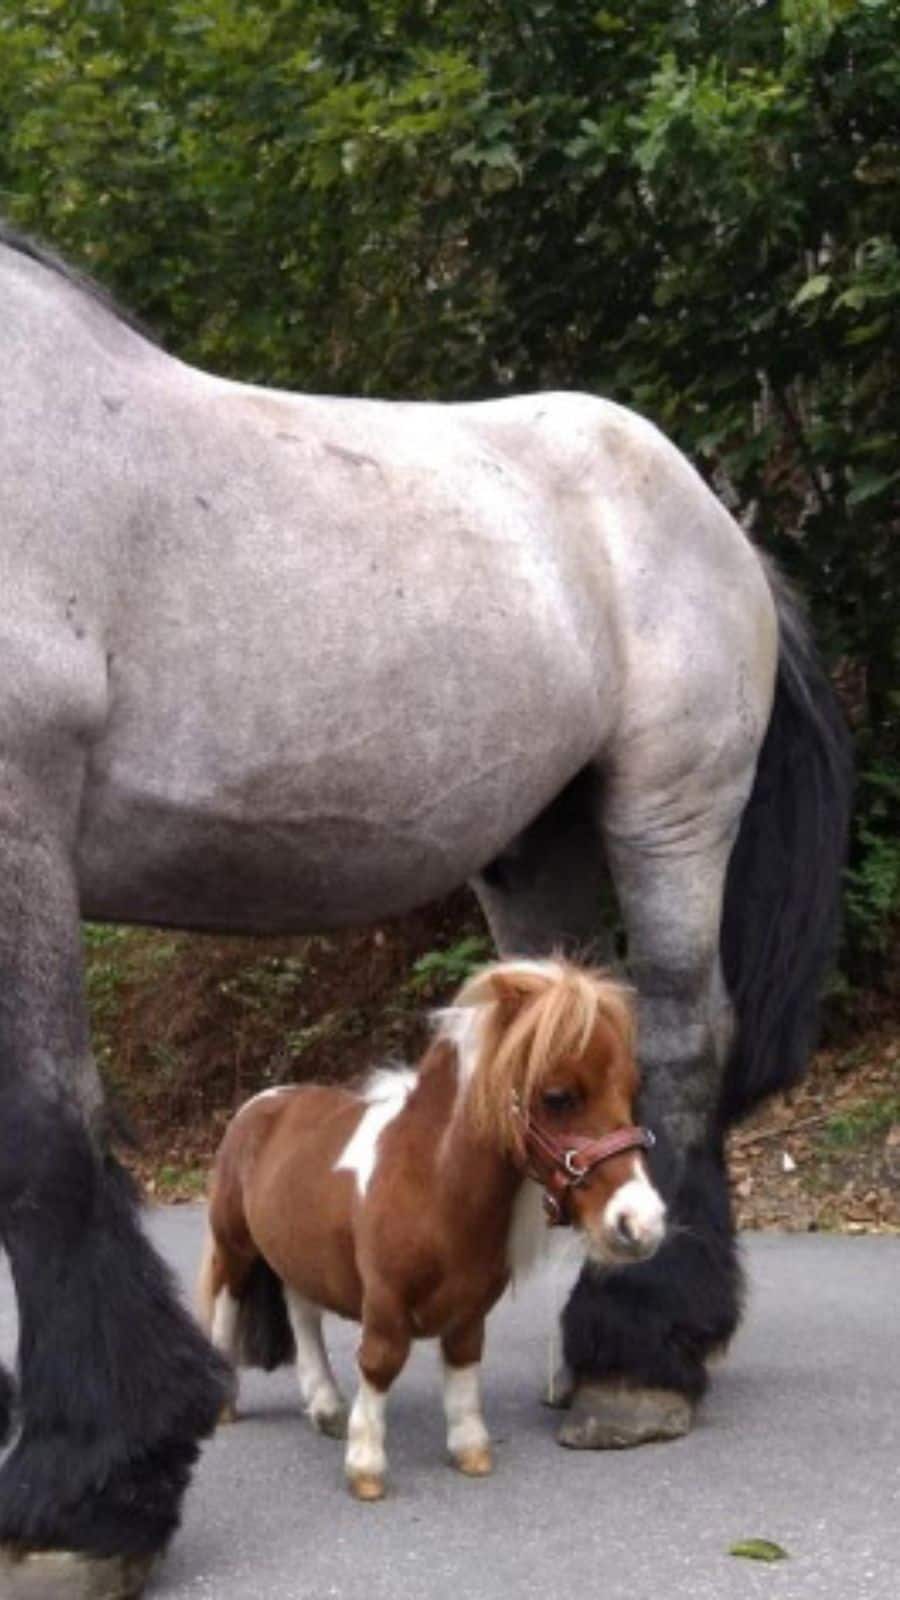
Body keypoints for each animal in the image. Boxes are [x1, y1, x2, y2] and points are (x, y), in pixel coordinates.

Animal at [198, 958, 664, 1500]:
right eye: (558, 1096)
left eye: (632, 1091)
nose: (642, 1222)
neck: (432, 1184)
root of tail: (259, 1104)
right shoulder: (384, 1300)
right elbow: (380, 1361)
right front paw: (366, 1466)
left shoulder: (470, 1307)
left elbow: (463, 1363)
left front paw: (470, 1450)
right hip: (235, 1245)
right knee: (227, 1305)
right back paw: (225, 1404)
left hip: (297, 1251)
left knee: (303, 1315)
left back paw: (327, 1407)